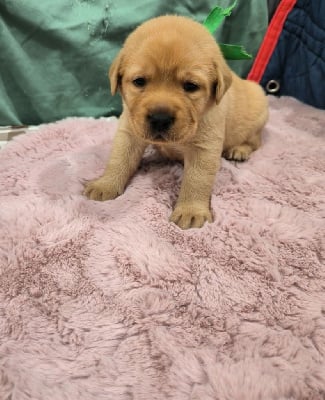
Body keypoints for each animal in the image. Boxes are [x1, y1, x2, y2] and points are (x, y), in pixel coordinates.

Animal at [85, 15, 268, 230]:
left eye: (191, 86)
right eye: (139, 81)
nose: (160, 118)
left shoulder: (204, 147)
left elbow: (196, 180)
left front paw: (191, 211)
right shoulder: (129, 131)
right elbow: (119, 159)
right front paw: (105, 184)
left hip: (259, 112)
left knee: (256, 141)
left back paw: (239, 150)